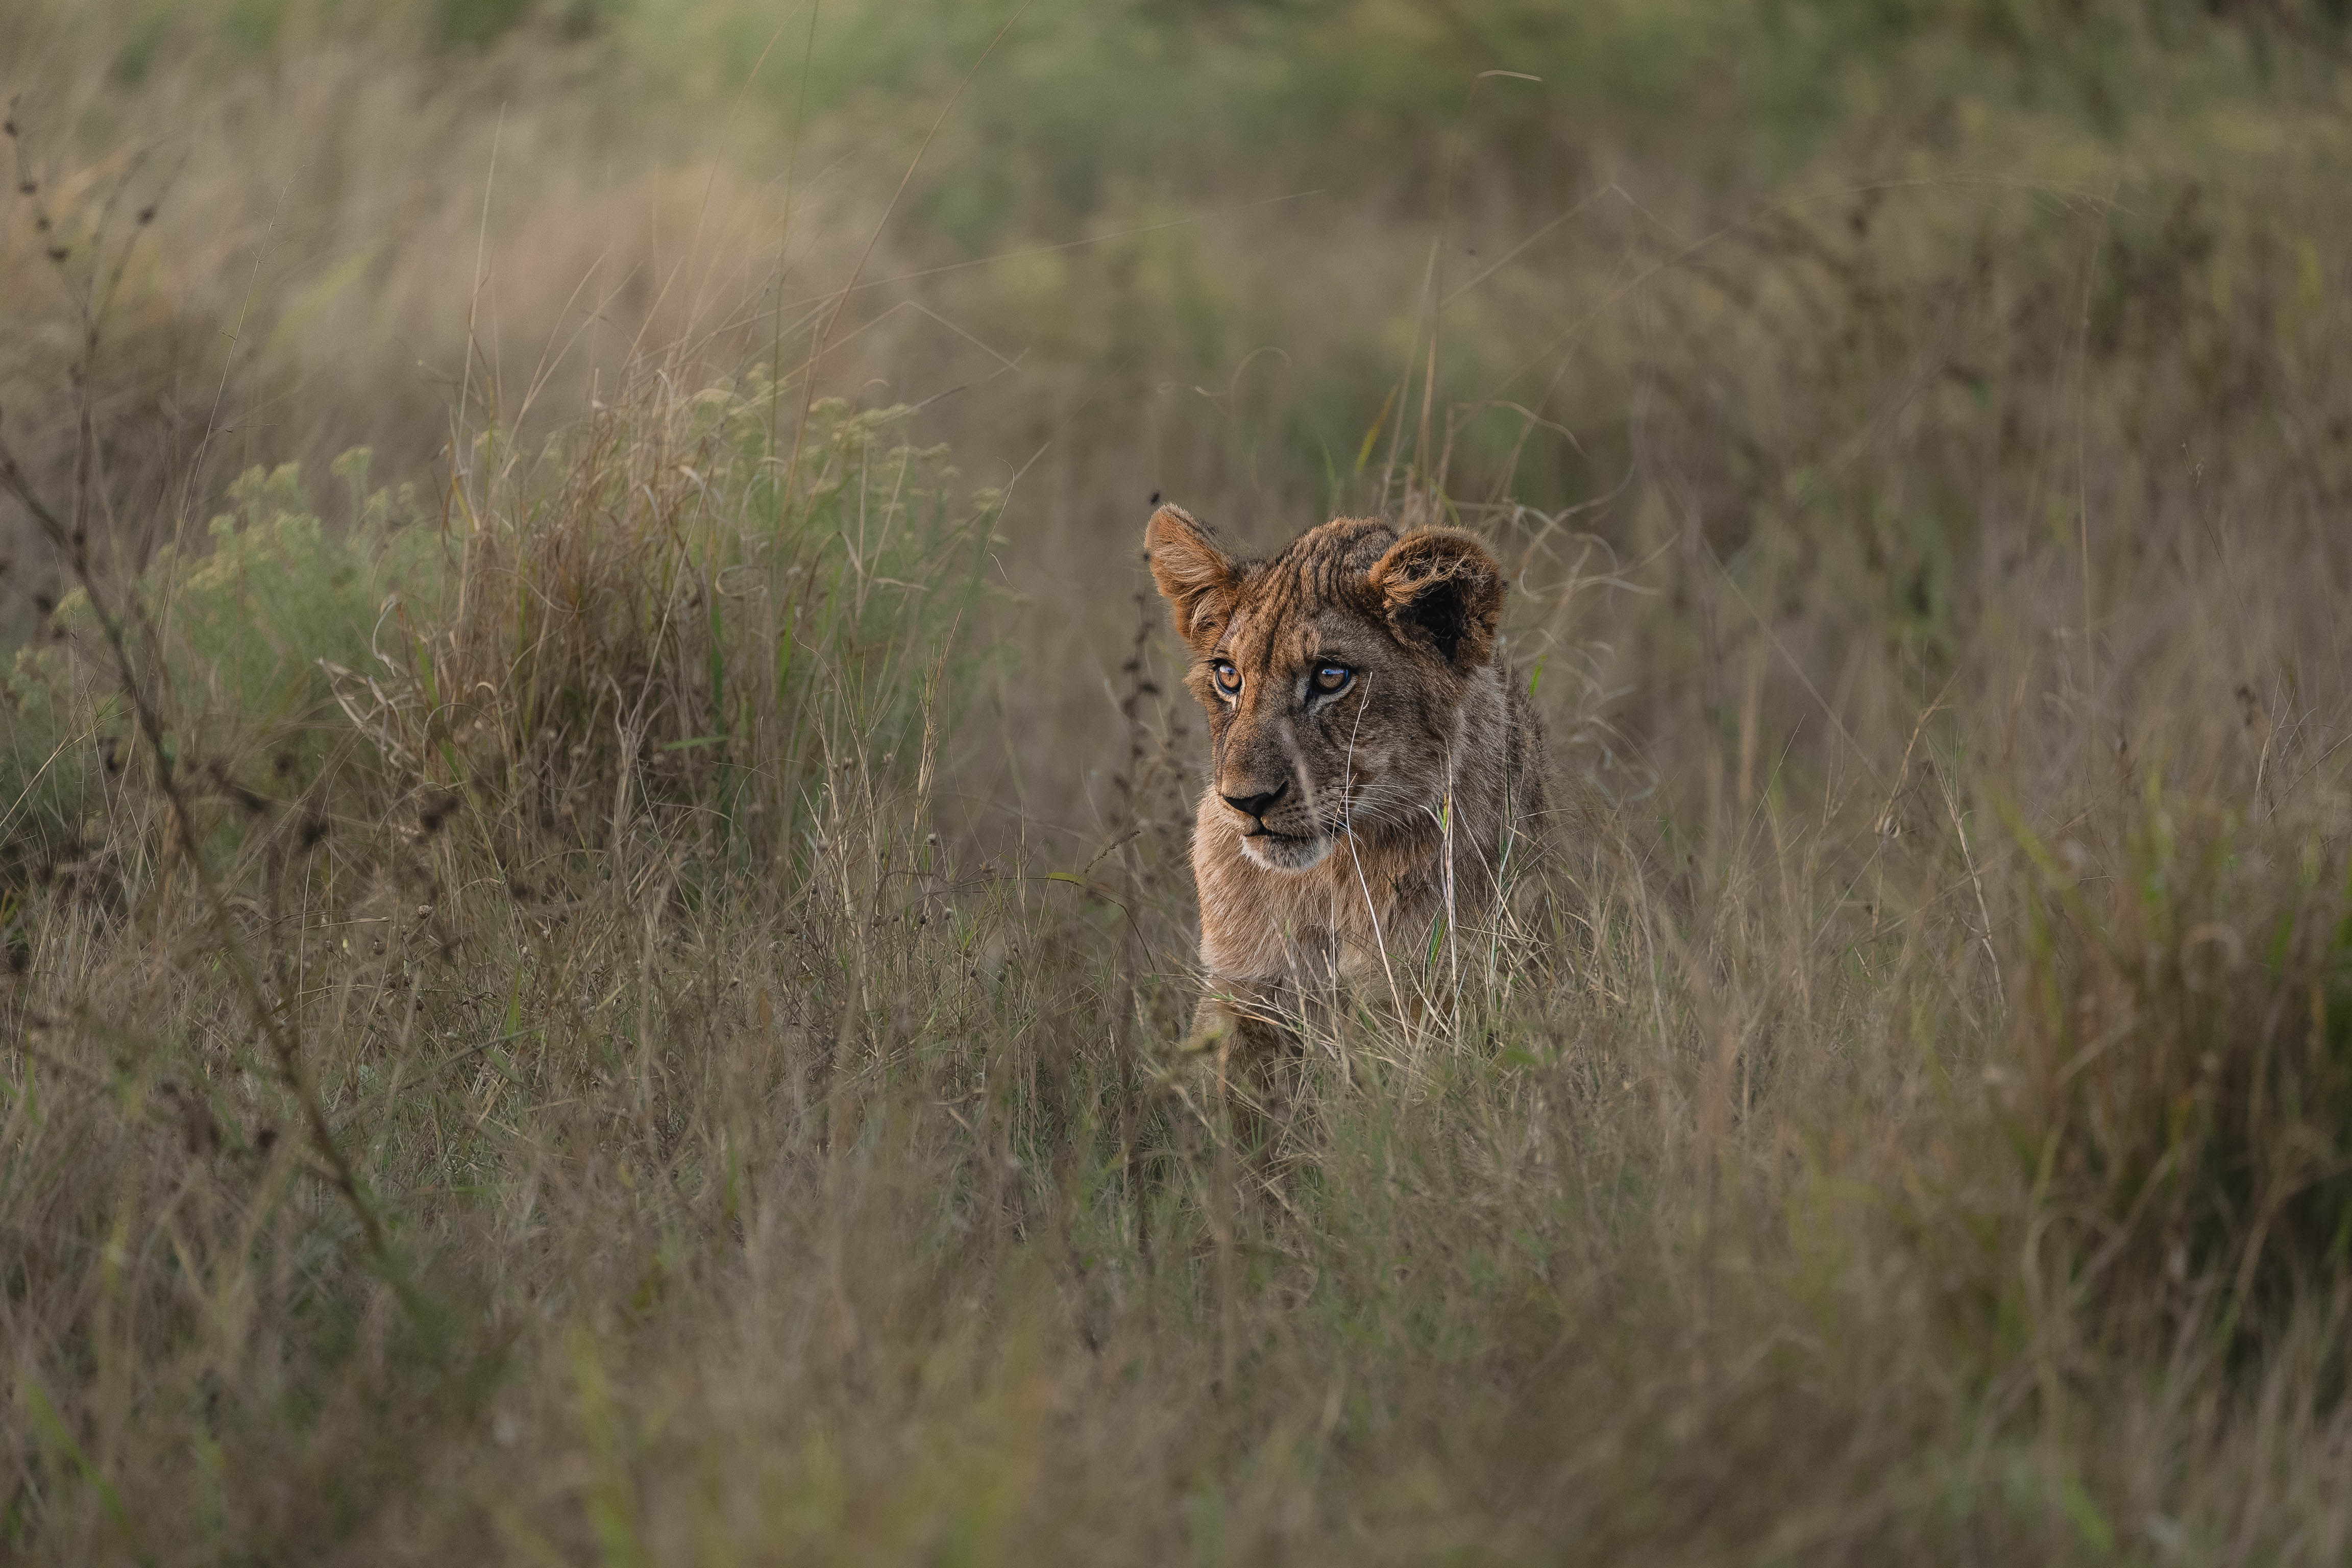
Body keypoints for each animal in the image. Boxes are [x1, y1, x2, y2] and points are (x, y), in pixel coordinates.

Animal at [1144, 502, 1546, 1055]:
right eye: (1228, 677)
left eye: (1330, 677)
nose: (1247, 802)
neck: (1330, 881)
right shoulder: (1241, 987)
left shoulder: (1437, 991)